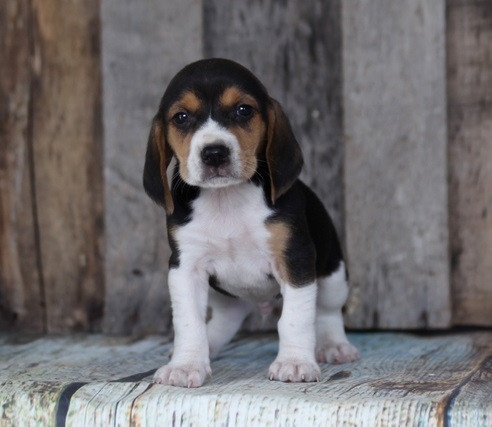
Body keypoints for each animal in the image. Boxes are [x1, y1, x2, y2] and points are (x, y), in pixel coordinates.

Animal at [142, 56, 358, 388]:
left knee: (327, 313)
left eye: (243, 110)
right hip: (224, 294)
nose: (214, 153)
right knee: (224, 319)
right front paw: (186, 364)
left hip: (333, 275)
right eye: (181, 117)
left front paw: (294, 362)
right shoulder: (185, 267)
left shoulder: (294, 259)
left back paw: (334, 345)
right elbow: (190, 322)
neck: (226, 199)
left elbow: (295, 318)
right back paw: (208, 347)